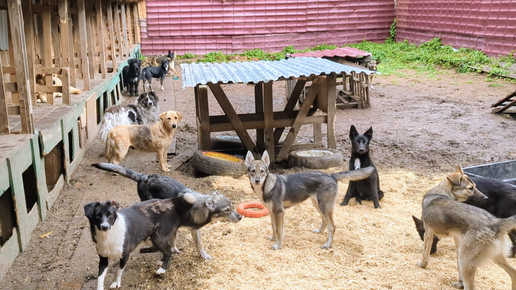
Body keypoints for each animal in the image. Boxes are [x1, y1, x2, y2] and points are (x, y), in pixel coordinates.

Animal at [90, 162, 242, 260]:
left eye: (232, 206)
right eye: (226, 210)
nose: (240, 217)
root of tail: (143, 177)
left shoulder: (192, 228)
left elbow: (197, 243)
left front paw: (202, 255)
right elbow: (175, 240)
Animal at [245, 150, 374, 249]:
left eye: (262, 171)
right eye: (252, 171)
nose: (257, 180)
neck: (266, 186)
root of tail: (331, 175)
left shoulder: (279, 212)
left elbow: (279, 230)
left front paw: (278, 245)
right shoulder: (272, 212)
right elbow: (274, 227)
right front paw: (273, 238)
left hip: (324, 207)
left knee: (332, 226)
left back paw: (328, 245)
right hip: (318, 205)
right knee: (325, 221)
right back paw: (320, 231)